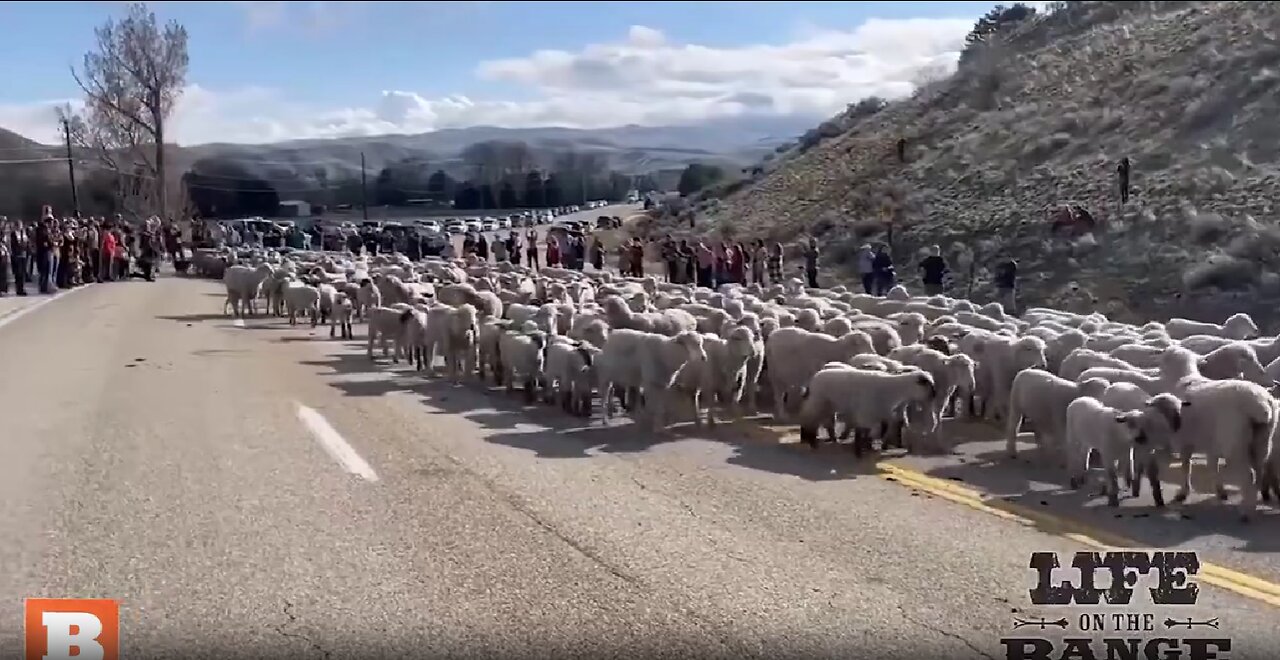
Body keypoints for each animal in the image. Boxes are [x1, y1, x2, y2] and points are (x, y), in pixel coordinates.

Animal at [793, 365, 936, 457]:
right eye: (928, 385)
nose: (934, 395)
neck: (894, 389)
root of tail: (814, 378)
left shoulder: (877, 415)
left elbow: (869, 432)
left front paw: (868, 448)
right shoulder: (866, 413)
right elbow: (862, 433)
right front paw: (859, 452)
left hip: (827, 406)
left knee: (821, 421)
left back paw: (826, 440)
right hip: (818, 403)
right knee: (808, 420)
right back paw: (811, 442)